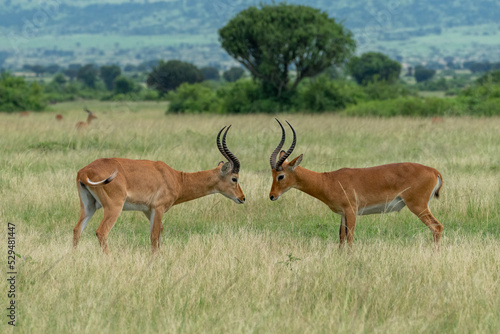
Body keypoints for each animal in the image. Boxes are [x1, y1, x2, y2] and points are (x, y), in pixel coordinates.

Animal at [73, 125, 245, 253]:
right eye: (234, 178)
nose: (242, 198)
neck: (176, 178)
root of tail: (84, 171)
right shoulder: (158, 208)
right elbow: (155, 237)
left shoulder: (148, 211)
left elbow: (158, 236)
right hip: (114, 207)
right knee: (101, 232)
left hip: (89, 206)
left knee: (77, 229)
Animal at [268, 118, 444, 247]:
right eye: (272, 173)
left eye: (280, 176)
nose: (272, 196)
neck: (328, 181)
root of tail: (434, 171)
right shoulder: (342, 214)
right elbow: (341, 238)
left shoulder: (351, 211)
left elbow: (350, 238)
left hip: (418, 206)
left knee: (437, 227)